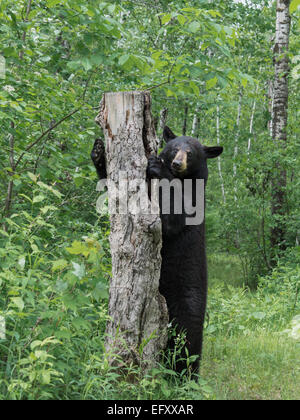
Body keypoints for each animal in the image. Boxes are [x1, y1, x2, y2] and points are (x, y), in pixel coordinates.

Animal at [91, 126, 223, 376]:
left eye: (190, 152)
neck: (183, 180)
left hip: (186, 305)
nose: (177, 163)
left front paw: (157, 166)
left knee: (186, 346)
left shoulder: (192, 205)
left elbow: (171, 219)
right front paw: (98, 153)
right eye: (174, 147)